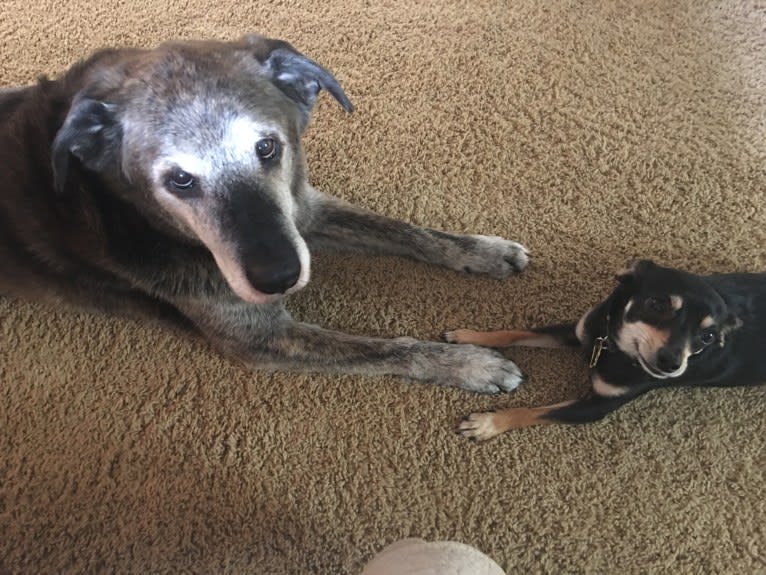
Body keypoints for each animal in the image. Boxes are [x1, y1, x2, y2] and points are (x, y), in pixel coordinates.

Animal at [0, 36, 528, 394]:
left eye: (268, 147)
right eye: (179, 180)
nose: (278, 277)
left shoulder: (300, 209)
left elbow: (406, 231)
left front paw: (483, 252)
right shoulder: (262, 340)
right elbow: (387, 348)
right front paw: (470, 364)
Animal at [448, 260, 764, 440]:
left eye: (708, 337)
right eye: (656, 304)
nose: (671, 364)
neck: (615, 347)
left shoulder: (595, 408)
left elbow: (532, 412)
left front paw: (487, 424)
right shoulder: (579, 332)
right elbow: (516, 333)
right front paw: (469, 338)